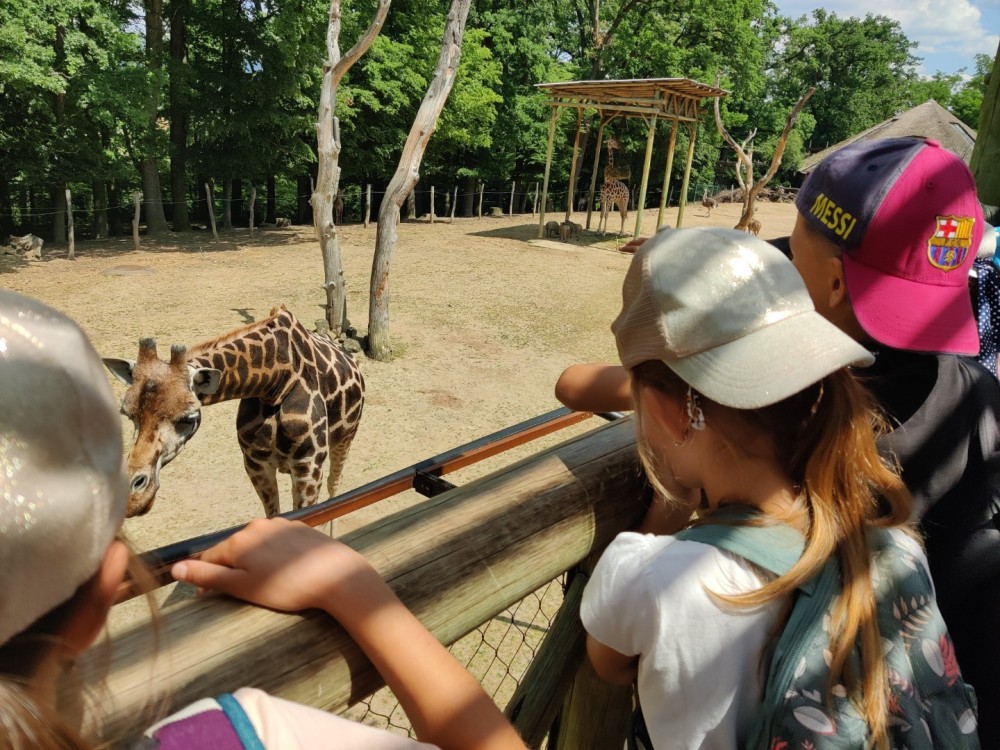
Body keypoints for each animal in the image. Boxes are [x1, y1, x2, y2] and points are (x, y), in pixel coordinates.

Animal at [103, 305, 365, 518]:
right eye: (127, 414)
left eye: (189, 418)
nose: (133, 499)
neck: (274, 383)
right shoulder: (256, 466)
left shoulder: (308, 467)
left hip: (345, 439)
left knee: (335, 487)